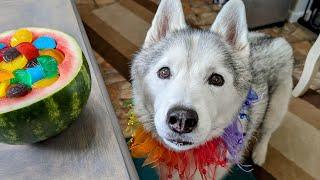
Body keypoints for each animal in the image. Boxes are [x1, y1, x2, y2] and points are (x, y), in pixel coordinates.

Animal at [130, 0, 292, 178]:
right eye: (164, 72)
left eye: (216, 79)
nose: (182, 119)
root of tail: (272, 37)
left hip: (276, 110)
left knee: (267, 132)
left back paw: (260, 153)